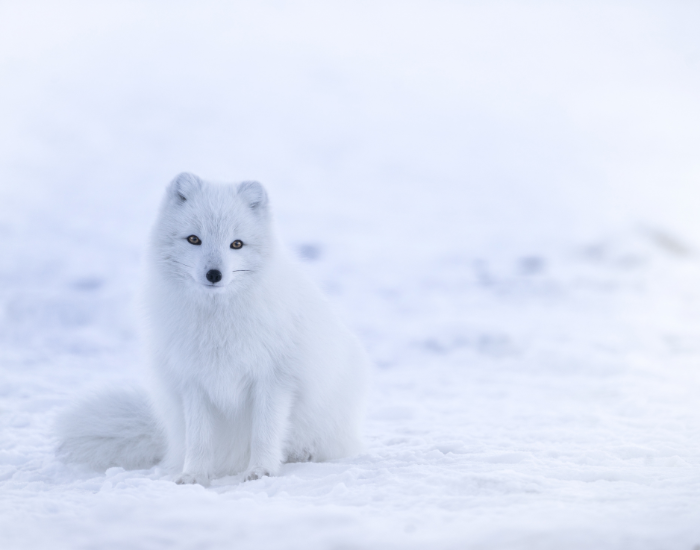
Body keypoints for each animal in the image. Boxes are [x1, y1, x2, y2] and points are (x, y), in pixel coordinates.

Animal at [57, 173, 369, 485]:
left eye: (237, 244)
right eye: (194, 239)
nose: (214, 274)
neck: (217, 322)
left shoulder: (274, 379)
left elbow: (265, 433)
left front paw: (261, 471)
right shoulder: (193, 381)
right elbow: (199, 439)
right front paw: (194, 476)